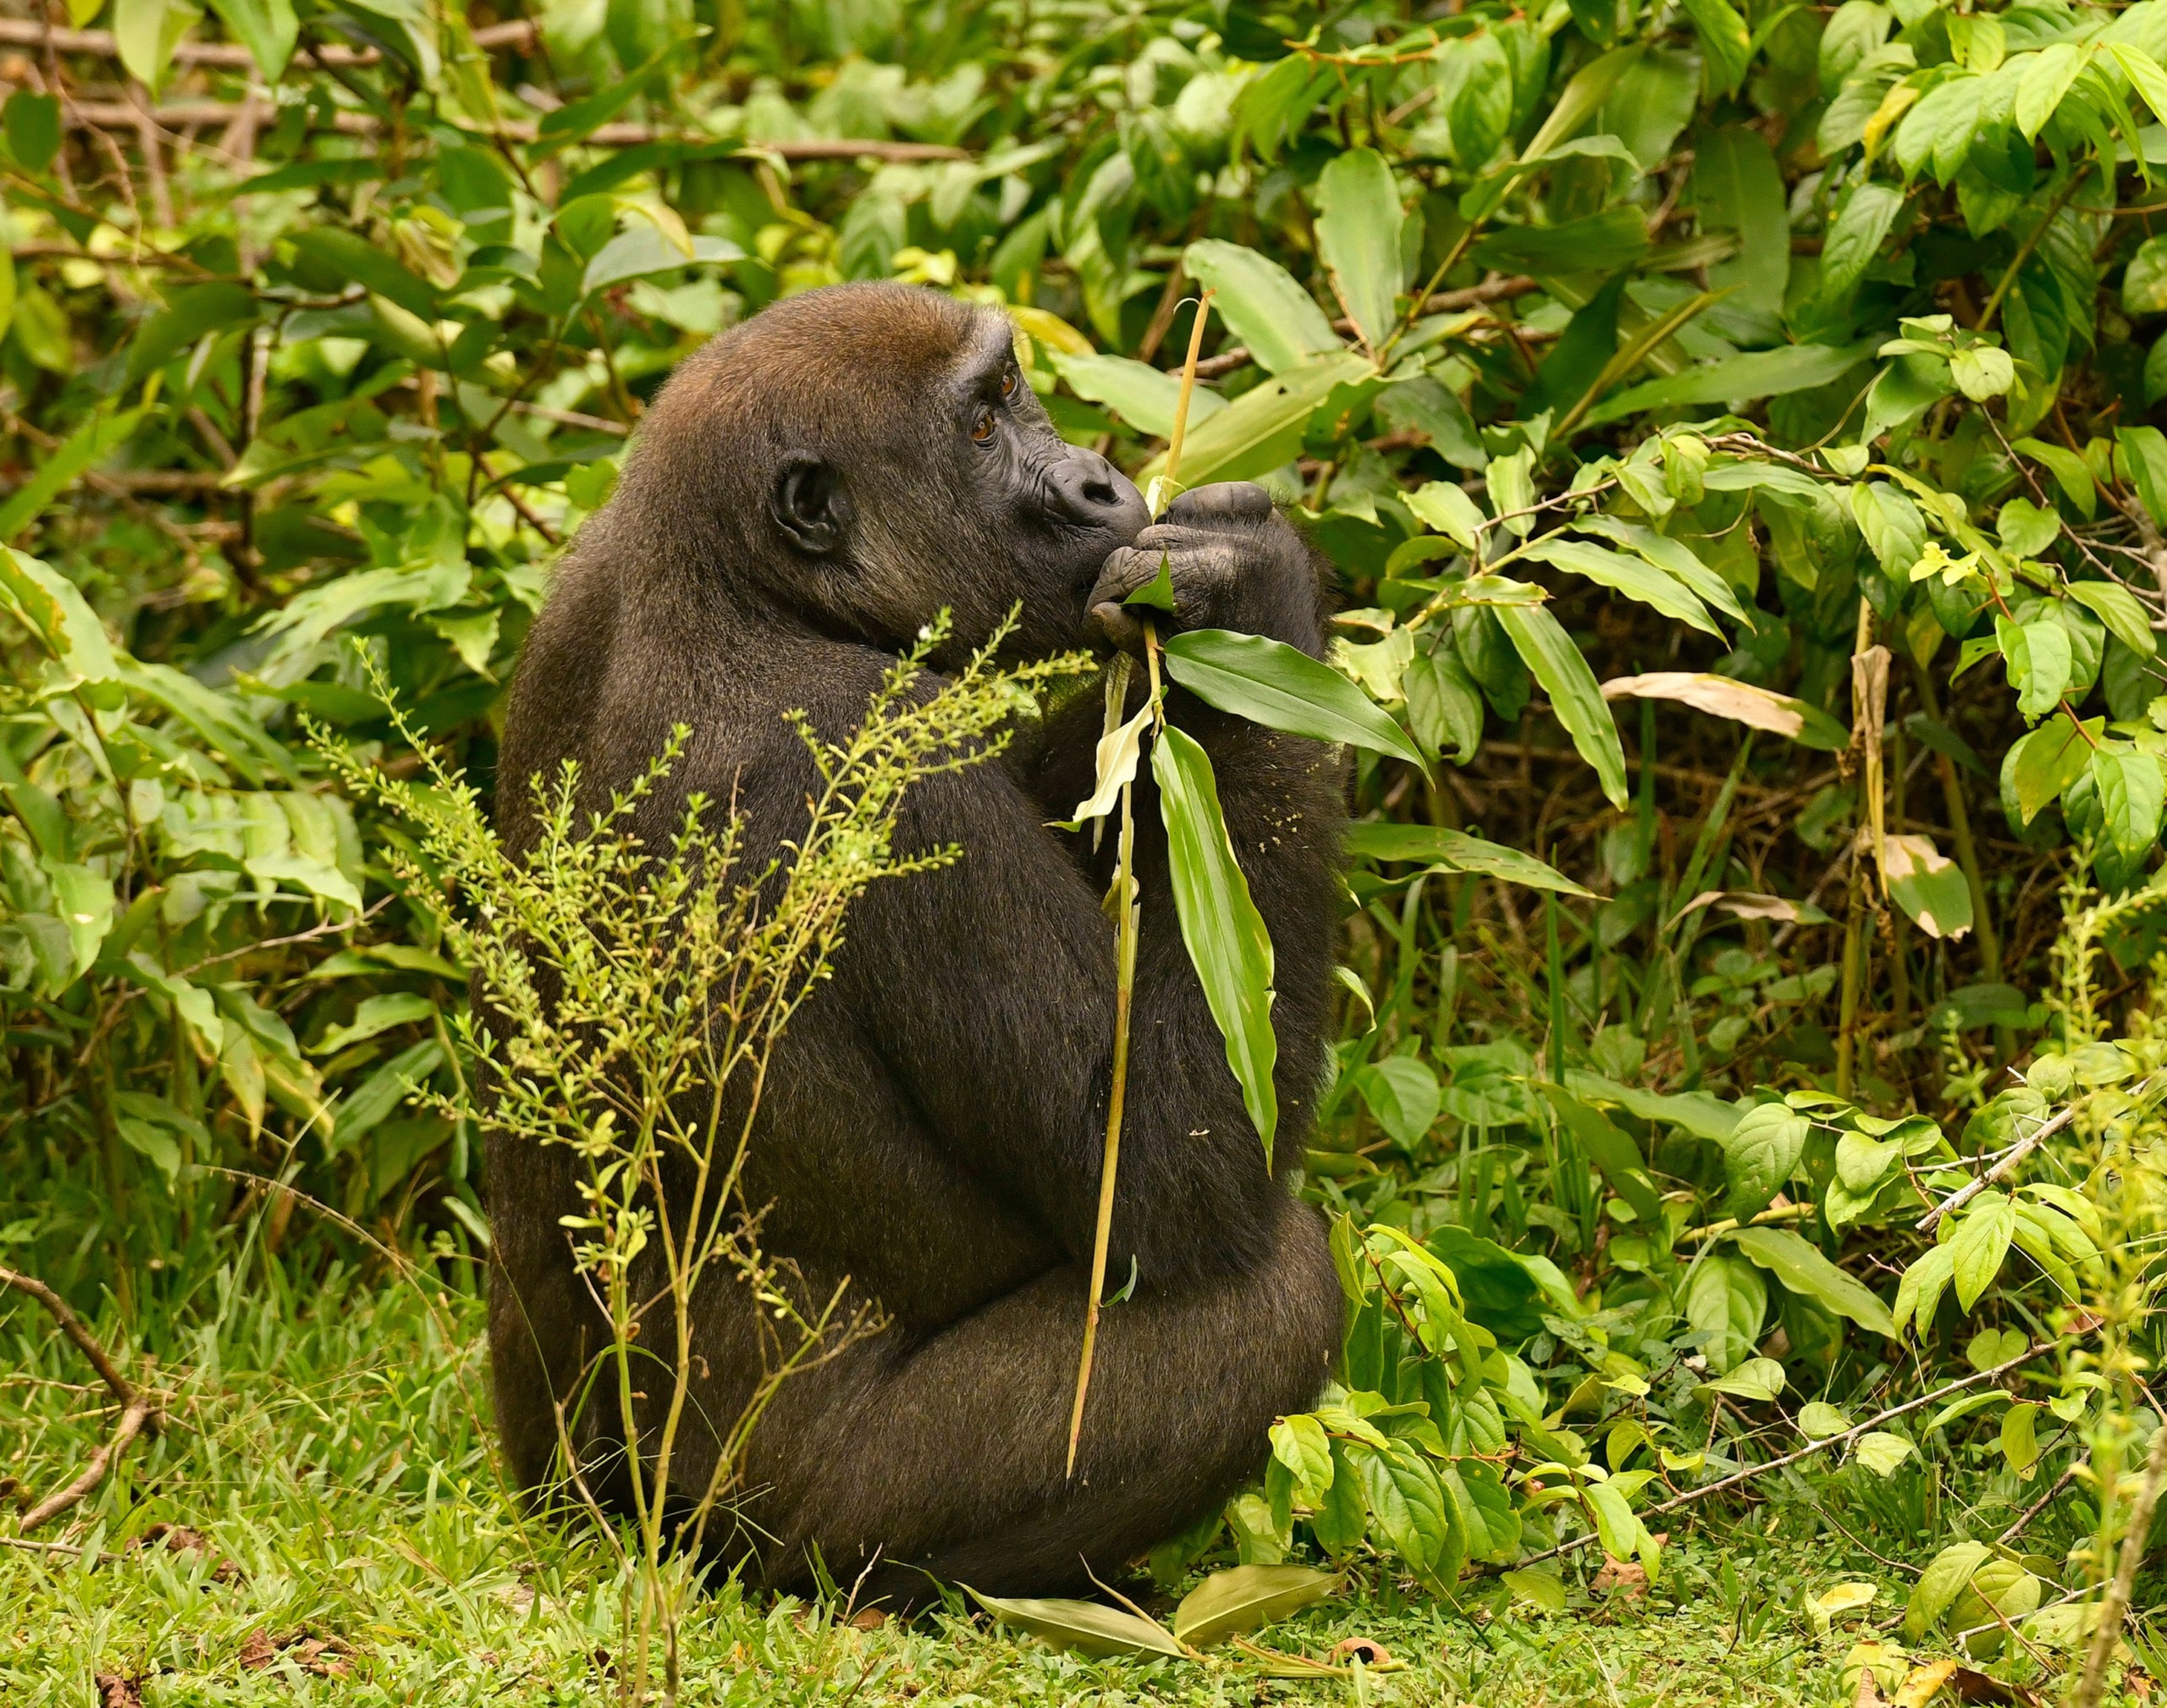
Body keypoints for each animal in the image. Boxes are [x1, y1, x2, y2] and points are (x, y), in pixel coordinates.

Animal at [488, 276, 1352, 1604]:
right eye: (984, 429)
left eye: (1015, 391)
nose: (1097, 484)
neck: (733, 582)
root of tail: (583, 1515)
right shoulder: (894, 765)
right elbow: (1161, 1175)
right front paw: (1249, 591)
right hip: (768, 1531)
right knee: (1269, 1293)